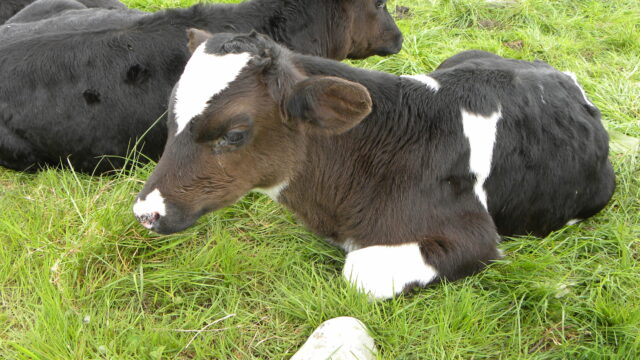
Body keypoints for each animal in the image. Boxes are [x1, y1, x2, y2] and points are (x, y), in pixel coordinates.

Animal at [134, 32, 616, 300]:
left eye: (234, 133)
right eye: (170, 114)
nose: (145, 212)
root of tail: (558, 74)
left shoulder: (475, 240)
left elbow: (359, 270)